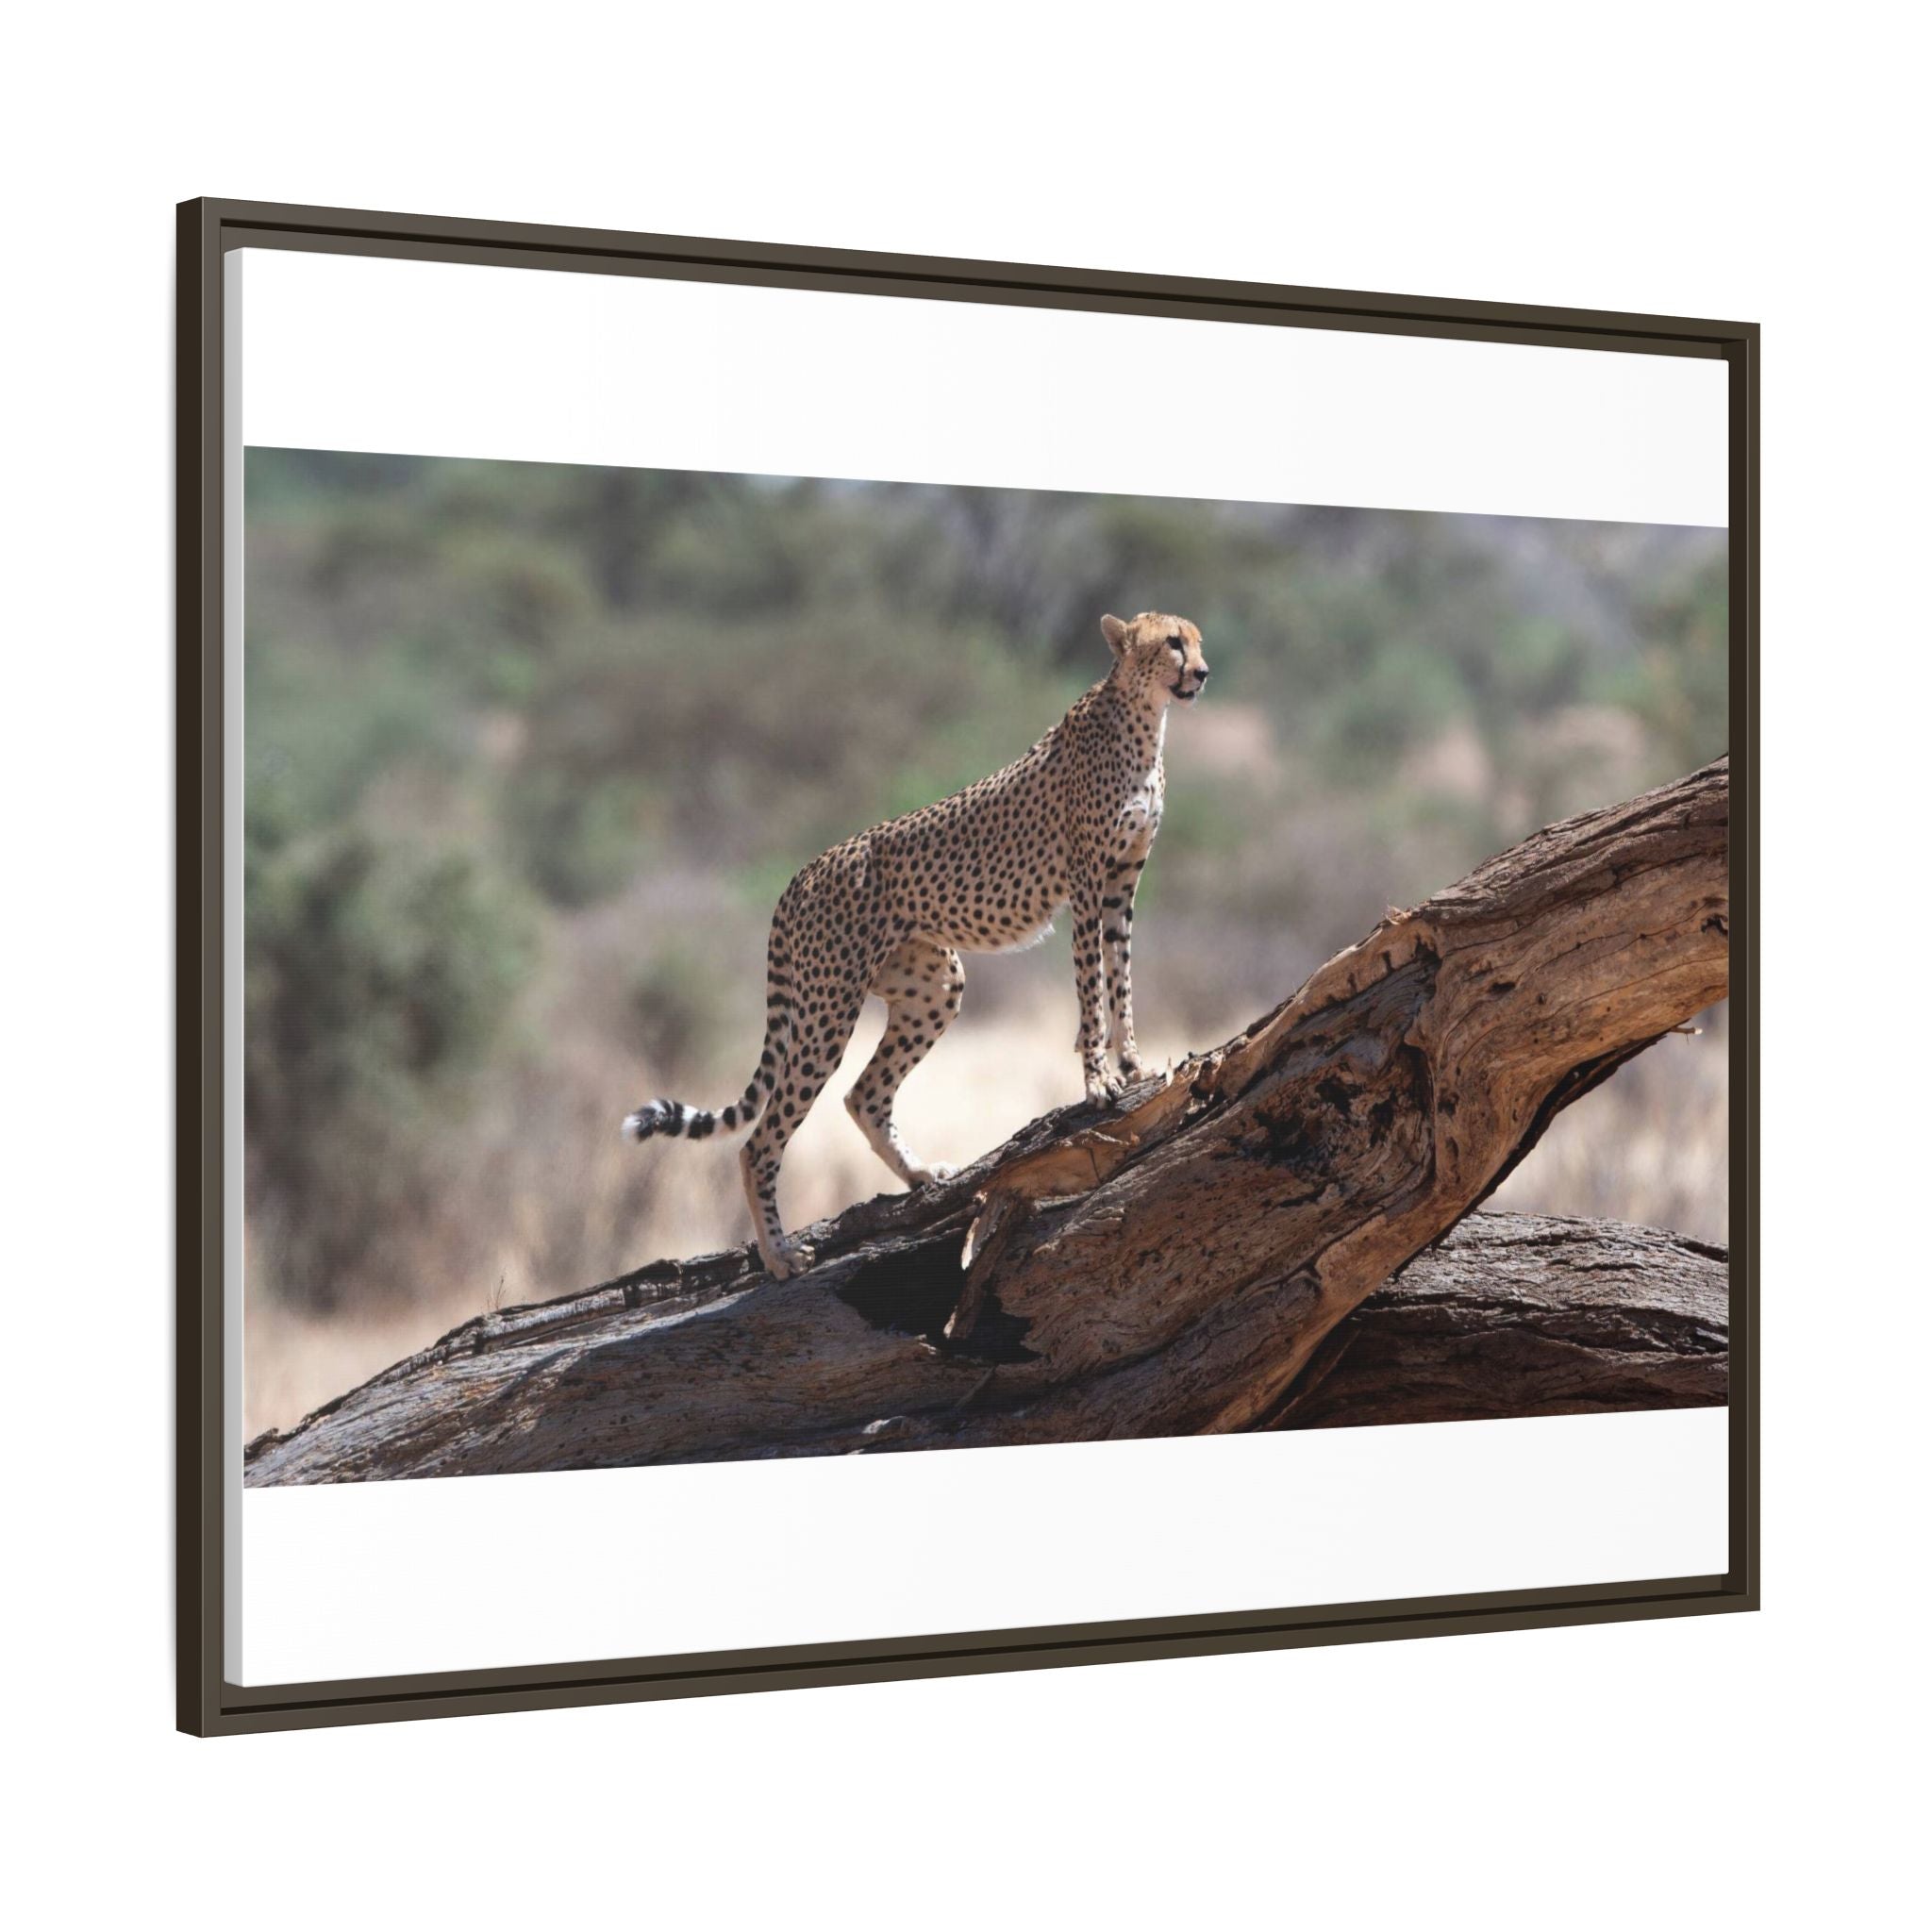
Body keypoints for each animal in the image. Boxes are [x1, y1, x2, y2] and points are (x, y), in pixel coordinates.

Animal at [622, 610, 1211, 1280]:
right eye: (1172, 643)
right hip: (828, 1008)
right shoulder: (1086, 884)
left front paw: (1134, 1064)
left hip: (934, 986)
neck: (1144, 717)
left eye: (1197, 640)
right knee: (761, 1139)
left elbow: (1121, 978)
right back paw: (779, 1254)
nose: (1202, 672)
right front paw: (1098, 1081)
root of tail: (802, 872)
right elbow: (1092, 988)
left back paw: (921, 1174)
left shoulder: (1121, 885)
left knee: (864, 1095)